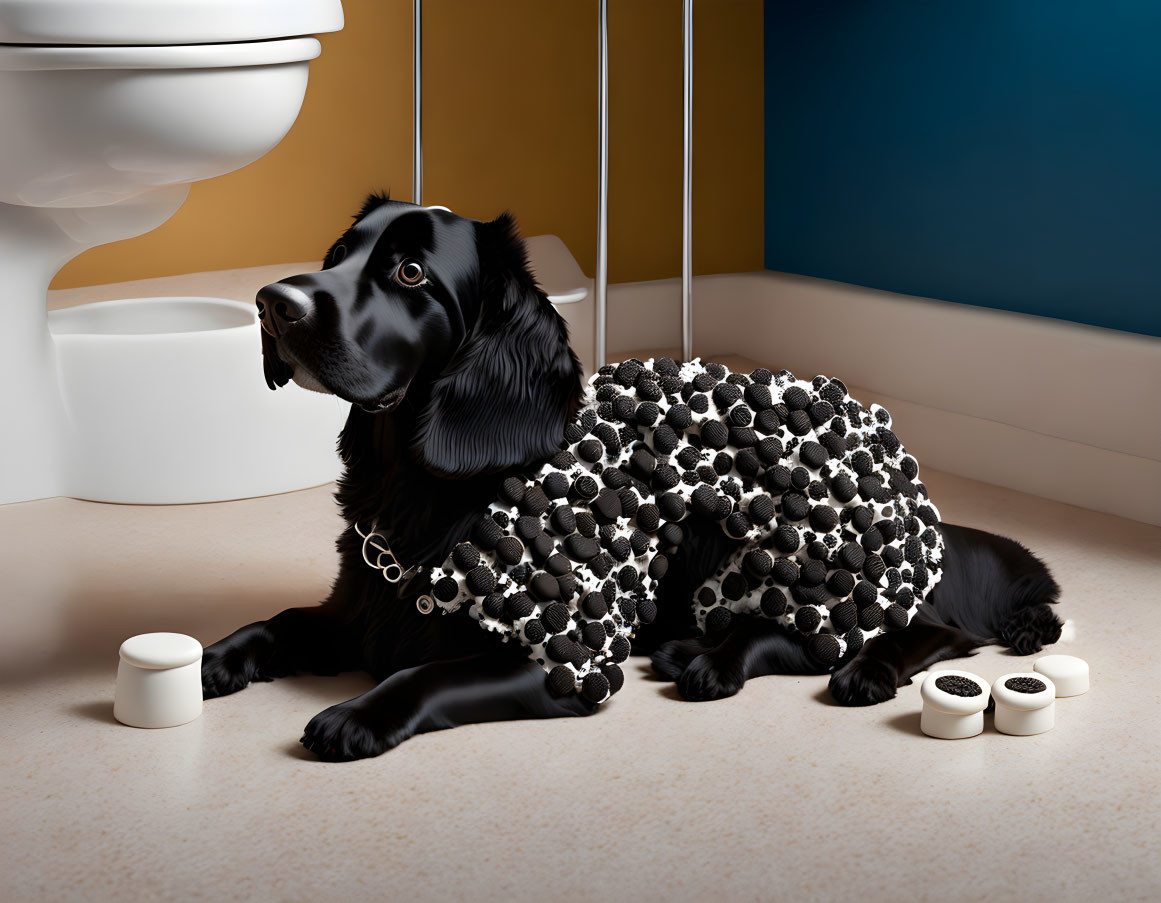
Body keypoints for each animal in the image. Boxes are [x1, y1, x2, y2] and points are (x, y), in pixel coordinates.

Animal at [202, 193, 1063, 756]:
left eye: (411, 273)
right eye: (336, 256)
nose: (271, 301)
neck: (429, 492)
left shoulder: (563, 663)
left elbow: (423, 673)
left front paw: (357, 713)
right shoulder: (359, 607)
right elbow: (283, 619)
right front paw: (218, 653)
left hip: (797, 553)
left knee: (913, 628)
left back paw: (750, 662)